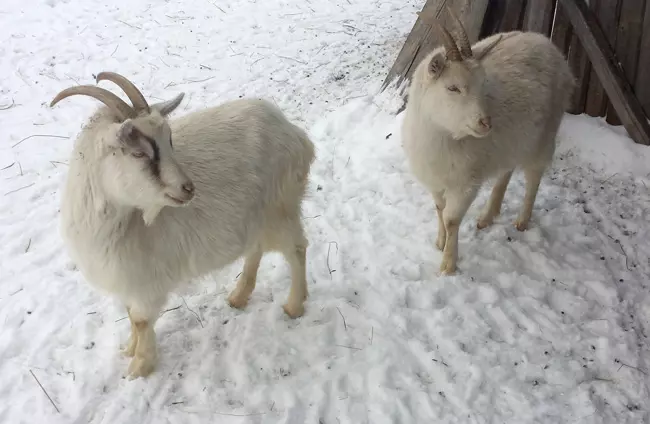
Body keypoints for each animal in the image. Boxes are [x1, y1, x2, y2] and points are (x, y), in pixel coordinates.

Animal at [50, 72, 315, 378]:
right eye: (138, 153)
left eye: (169, 141)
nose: (188, 188)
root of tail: (294, 132)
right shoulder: (129, 280)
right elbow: (130, 316)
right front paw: (129, 349)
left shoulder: (148, 282)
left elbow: (140, 320)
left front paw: (139, 367)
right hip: (256, 216)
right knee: (256, 248)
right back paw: (239, 296)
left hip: (279, 208)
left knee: (297, 248)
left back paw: (294, 305)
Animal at [401, 12, 575, 275]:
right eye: (452, 87)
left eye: (483, 83)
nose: (485, 123)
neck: (443, 135)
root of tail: (546, 43)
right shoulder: (435, 179)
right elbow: (439, 208)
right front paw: (439, 243)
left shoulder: (466, 183)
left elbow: (451, 219)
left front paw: (448, 265)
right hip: (513, 142)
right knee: (506, 171)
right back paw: (487, 216)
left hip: (544, 135)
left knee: (534, 176)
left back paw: (522, 221)